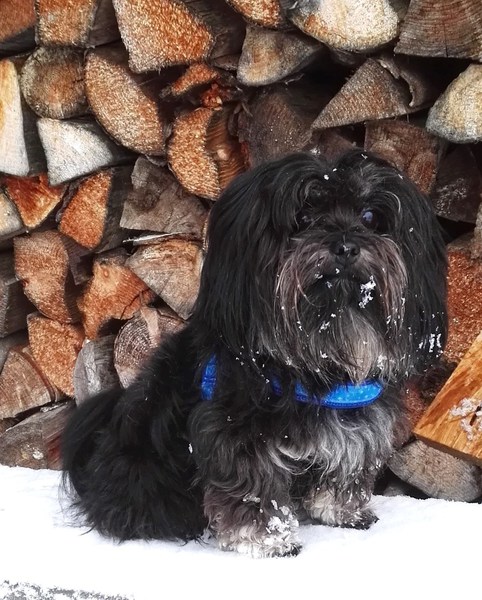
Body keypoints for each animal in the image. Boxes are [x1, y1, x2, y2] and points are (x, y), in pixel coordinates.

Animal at [62, 150, 447, 558]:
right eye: (304, 216)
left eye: (371, 217)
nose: (345, 246)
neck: (316, 361)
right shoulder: (235, 435)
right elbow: (253, 487)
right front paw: (268, 539)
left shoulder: (357, 424)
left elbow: (346, 467)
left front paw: (342, 513)